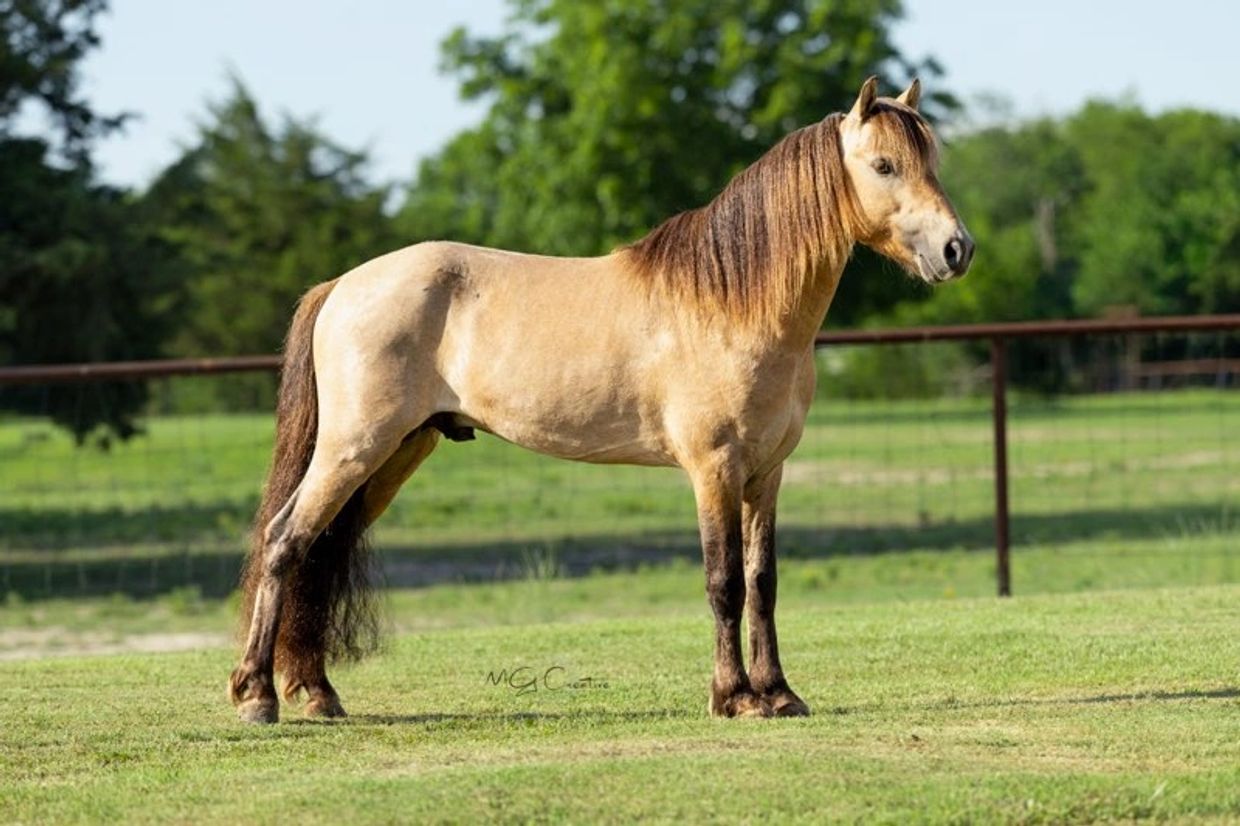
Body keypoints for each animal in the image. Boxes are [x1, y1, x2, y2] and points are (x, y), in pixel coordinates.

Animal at [228, 76, 974, 723]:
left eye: (932, 161)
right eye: (883, 164)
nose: (956, 249)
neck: (733, 304)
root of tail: (343, 286)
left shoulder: (767, 473)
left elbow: (763, 582)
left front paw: (780, 694)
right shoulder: (714, 469)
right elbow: (724, 583)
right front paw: (734, 696)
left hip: (397, 452)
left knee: (321, 549)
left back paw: (316, 691)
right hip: (354, 448)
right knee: (286, 541)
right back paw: (257, 695)